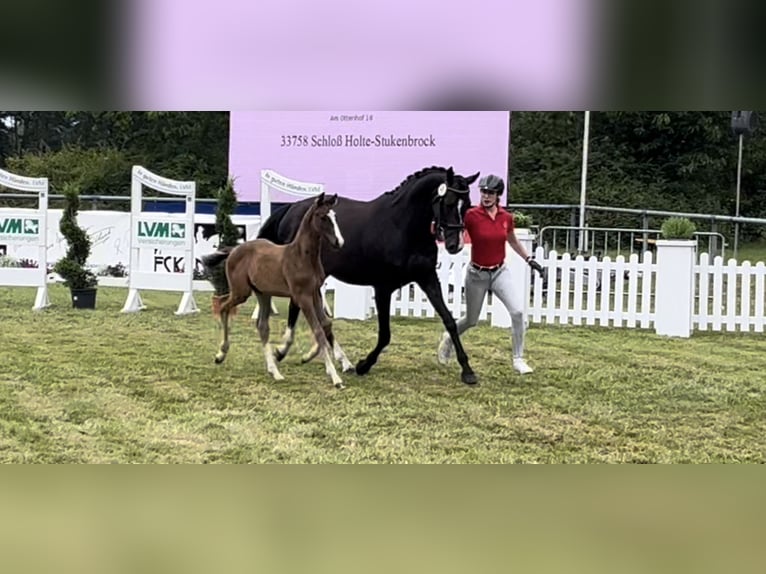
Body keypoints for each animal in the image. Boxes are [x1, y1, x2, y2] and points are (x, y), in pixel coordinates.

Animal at [204, 195, 348, 392]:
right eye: (323, 217)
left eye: (335, 216)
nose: (339, 242)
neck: (302, 256)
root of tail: (234, 250)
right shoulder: (302, 297)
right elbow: (318, 330)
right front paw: (335, 377)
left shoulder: (315, 294)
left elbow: (326, 325)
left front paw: (306, 357)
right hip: (241, 292)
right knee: (224, 306)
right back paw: (220, 354)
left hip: (262, 293)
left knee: (262, 326)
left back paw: (274, 371)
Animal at [258, 166, 484, 388]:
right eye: (448, 202)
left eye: (468, 206)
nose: (455, 245)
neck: (402, 226)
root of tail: (292, 208)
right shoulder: (383, 287)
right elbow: (385, 335)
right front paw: (364, 365)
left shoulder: (427, 278)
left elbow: (449, 320)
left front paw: (467, 371)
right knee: (297, 307)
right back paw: (285, 351)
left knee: (317, 315)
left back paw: (336, 359)